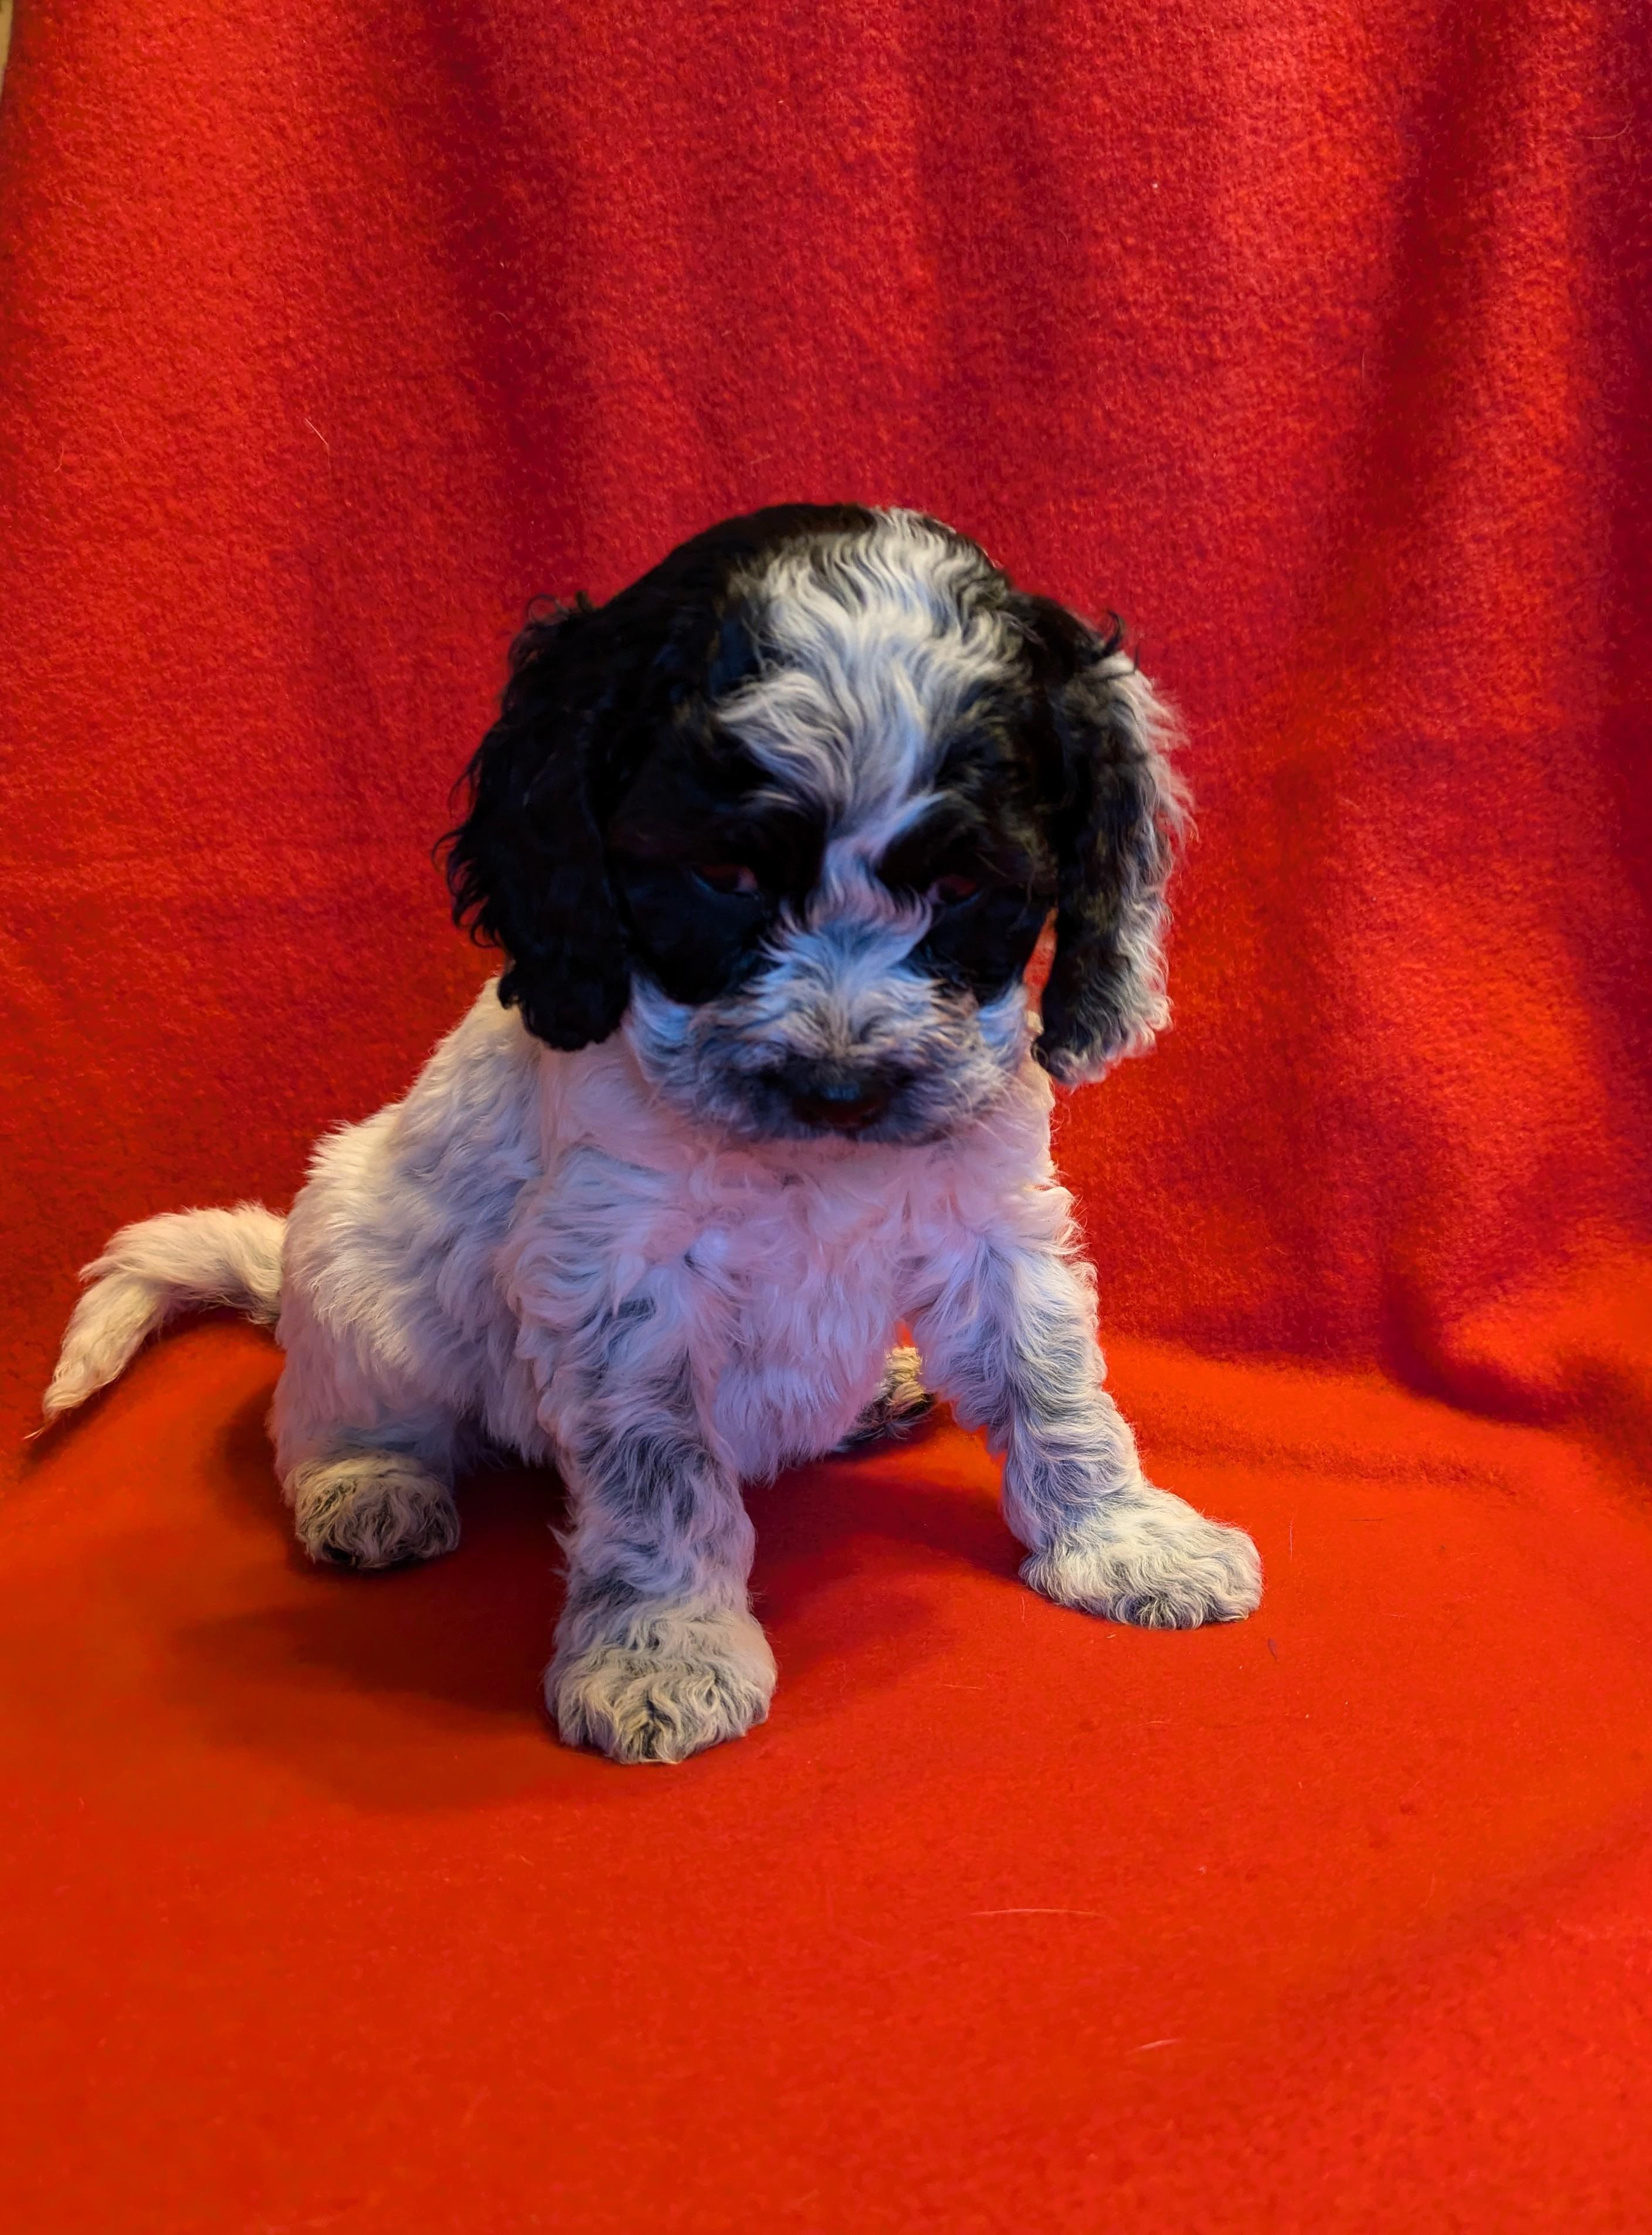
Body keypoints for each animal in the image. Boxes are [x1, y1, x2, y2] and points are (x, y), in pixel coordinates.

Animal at [48, 507, 1270, 1761]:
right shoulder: (621, 1279)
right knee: (321, 1417)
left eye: (967, 886)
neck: (809, 1168)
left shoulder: (994, 1223)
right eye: (722, 873)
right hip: (356, 1275)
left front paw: (1124, 1539)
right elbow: (660, 1476)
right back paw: (369, 1489)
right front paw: (662, 1653)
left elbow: (1052, 1384)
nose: (840, 1087)